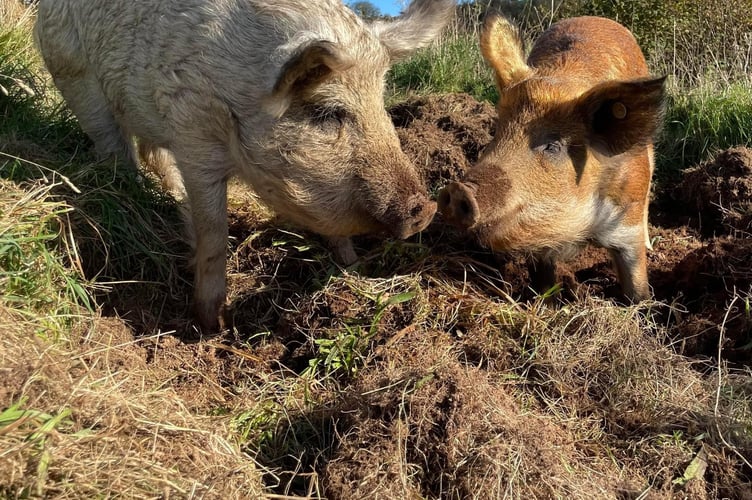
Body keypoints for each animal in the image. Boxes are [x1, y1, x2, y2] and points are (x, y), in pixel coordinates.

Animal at [34, 0, 455, 331]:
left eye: (382, 104)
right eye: (326, 112)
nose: (426, 207)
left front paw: (351, 267)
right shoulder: (194, 130)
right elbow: (213, 230)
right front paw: (213, 323)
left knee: (152, 153)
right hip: (73, 73)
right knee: (115, 149)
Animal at [438, 14, 665, 301]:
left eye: (552, 146)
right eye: (498, 131)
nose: (458, 190)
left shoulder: (627, 219)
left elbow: (635, 280)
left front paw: (644, 305)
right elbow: (543, 278)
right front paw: (546, 300)